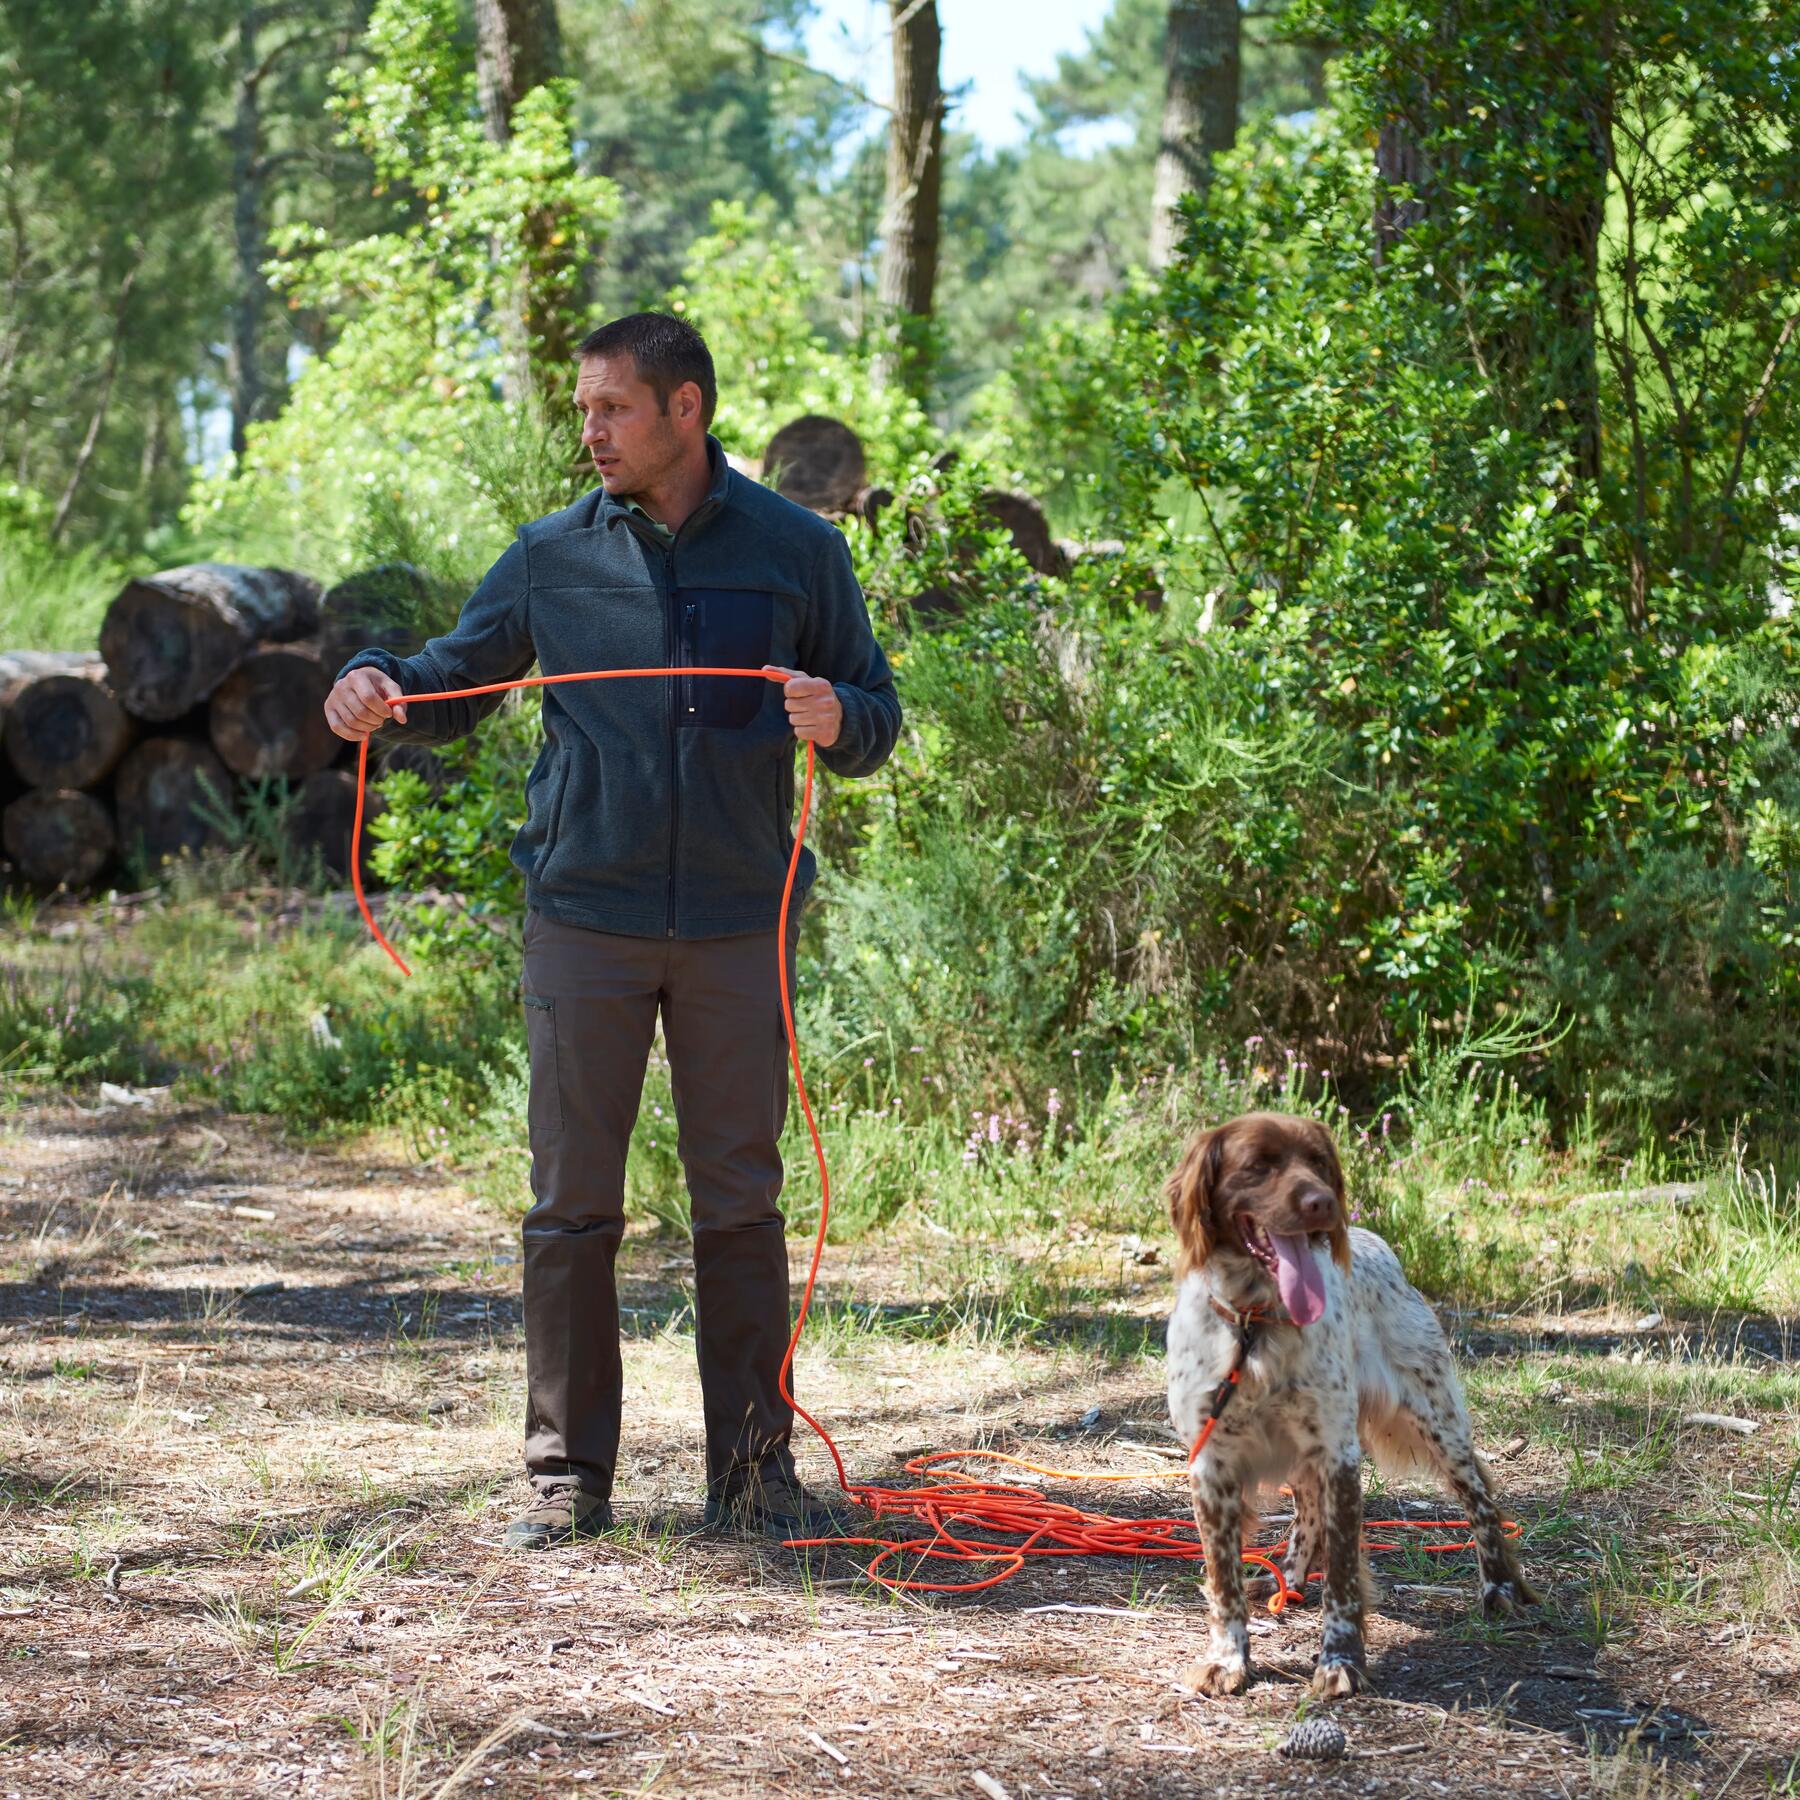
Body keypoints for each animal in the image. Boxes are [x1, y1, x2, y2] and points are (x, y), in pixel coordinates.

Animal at [1166, 1101, 1533, 1692]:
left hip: (1436, 1421)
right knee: (1306, 1515)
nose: (1323, 1203)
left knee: (1481, 1501)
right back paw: (1289, 1580)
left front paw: (1340, 1662)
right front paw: (1228, 1659)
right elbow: (1223, 1581)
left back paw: (1498, 1587)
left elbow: (1341, 1575)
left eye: (1319, 1162)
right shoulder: (1213, 1462)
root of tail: (1373, 1240)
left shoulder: (1338, 1454)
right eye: (1259, 1164)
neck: (1255, 1324)